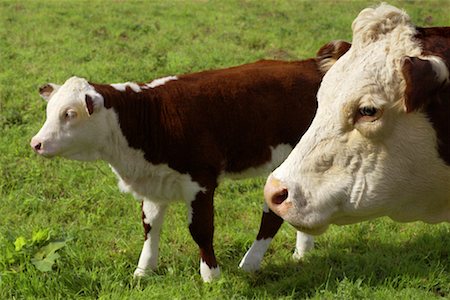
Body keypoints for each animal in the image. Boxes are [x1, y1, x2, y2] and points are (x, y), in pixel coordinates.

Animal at [30, 41, 352, 282]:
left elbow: (201, 230)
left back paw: (249, 264)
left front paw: (211, 276)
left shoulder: (200, 181)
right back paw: (302, 253)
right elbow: (150, 227)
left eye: (70, 113)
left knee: (271, 215)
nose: (36, 143)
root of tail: (310, 63)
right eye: (49, 110)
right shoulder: (154, 182)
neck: (149, 117)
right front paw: (142, 272)